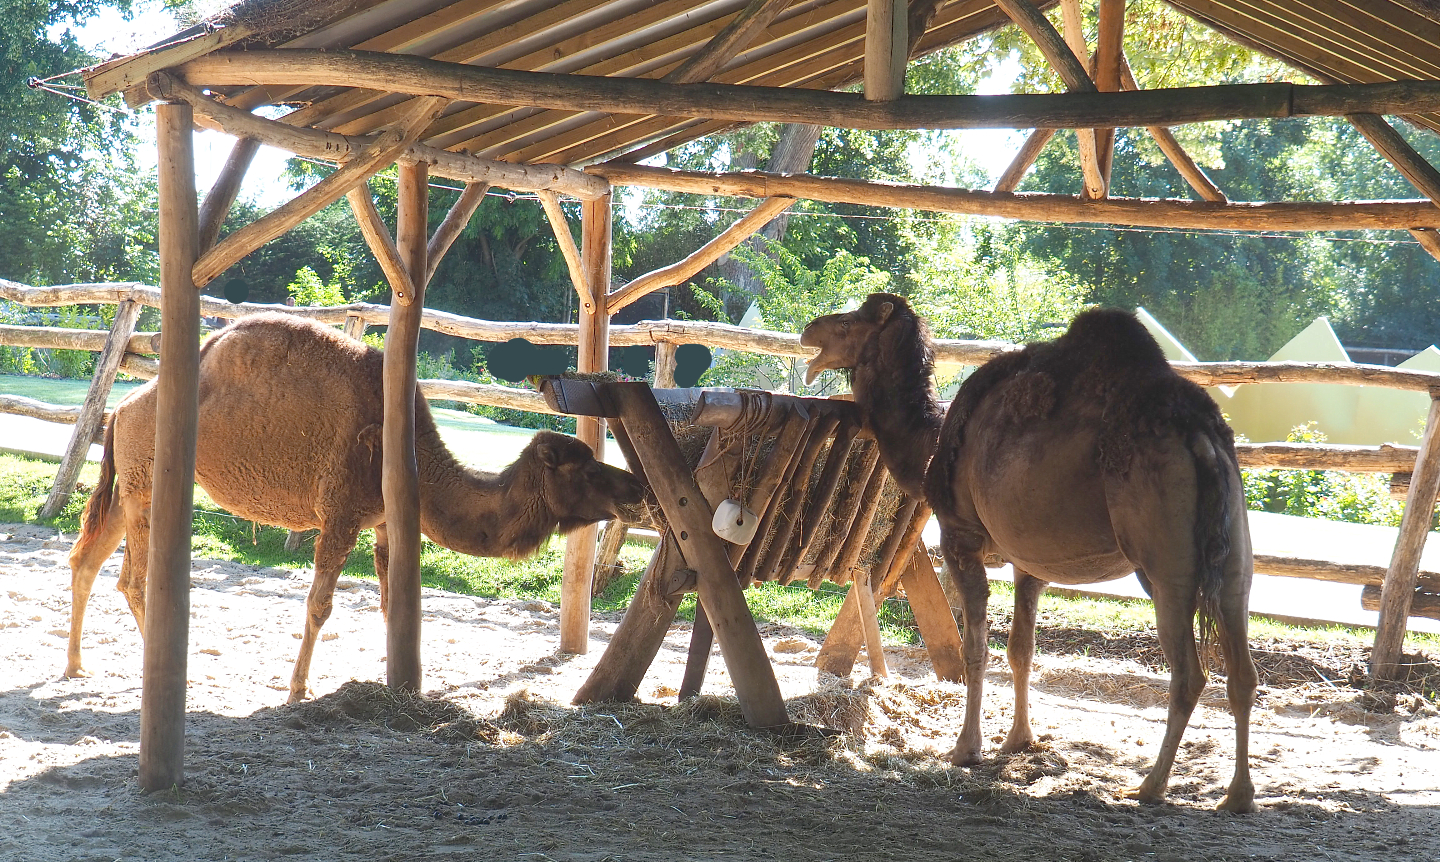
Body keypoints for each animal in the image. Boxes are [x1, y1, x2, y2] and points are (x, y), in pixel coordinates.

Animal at [66, 312, 645, 702]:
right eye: (586, 469)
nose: (636, 490)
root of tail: (121, 407)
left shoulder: (386, 520)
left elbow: (391, 604)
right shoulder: (341, 513)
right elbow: (320, 605)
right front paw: (298, 687)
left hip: (131, 484)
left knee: (88, 560)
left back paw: (75, 666)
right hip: (146, 480)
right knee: (133, 579)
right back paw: (170, 672)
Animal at [801, 294, 1257, 813]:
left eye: (848, 321)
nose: (809, 329)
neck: (931, 445)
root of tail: (1201, 435)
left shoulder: (959, 536)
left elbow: (975, 648)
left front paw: (966, 748)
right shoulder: (1028, 562)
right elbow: (1022, 649)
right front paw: (1019, 740)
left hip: (1164, 561)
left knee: (1189, 674)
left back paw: (1150, 786)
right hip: (1234, 548)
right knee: (1242, 669)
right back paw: (1238, 796)